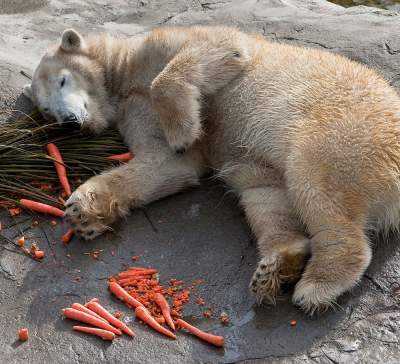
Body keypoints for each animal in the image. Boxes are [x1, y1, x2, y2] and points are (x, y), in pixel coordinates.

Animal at [22, 26, 400, 316]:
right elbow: (167, 164)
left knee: (314, 184)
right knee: (265, 193)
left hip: (342, 130)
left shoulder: (166, 45)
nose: (70, 122)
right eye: (46, 111)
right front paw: (82, 210)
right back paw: (277, 265)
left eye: (63, 80)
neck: (123, 74)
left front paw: (183, 131)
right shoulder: (135, 111)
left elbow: (214, 50)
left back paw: (317, 286)